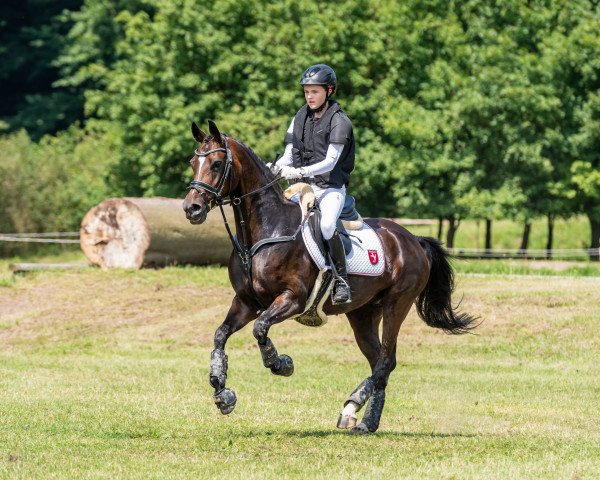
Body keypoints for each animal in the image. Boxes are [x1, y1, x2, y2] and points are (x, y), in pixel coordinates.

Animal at [180, 121, 476, 436]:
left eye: (216, 163)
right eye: (193, 163)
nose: (191, 208)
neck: (266, 231)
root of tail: (412, 239)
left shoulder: (292, 299)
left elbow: (260, 329)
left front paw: (280, 363)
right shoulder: (247, 301)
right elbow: (220, 335)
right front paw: (222, 391)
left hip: (397, 304)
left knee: (385, 360)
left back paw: (355, 408)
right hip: (363, 314)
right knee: (381, 361)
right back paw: (362, 418)